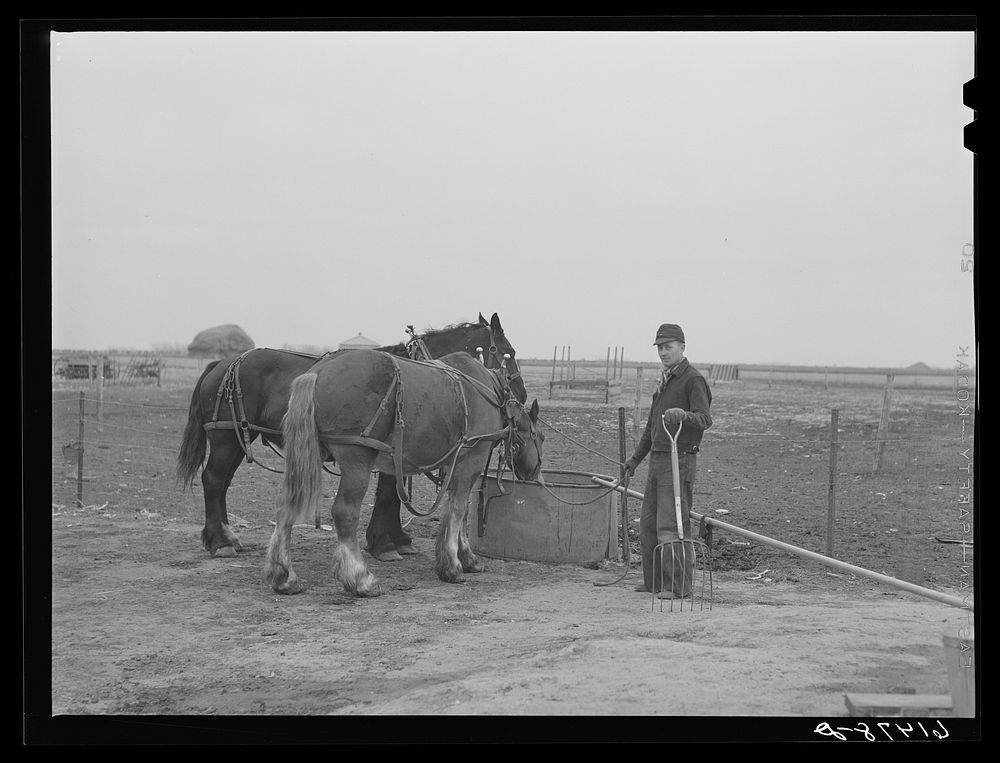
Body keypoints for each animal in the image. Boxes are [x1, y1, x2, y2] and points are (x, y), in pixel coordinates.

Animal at [176, 314, 528, 560]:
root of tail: (221, 363)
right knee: (214, 481)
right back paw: (220, 541)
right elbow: (388, 495)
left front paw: (394, 539)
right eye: (508, 352)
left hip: (234, 440)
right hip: (227, 438)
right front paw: (386, 543)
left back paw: (224, 537)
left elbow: (391, 494)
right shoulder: (393, 452)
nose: (521, 395)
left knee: (219, 484)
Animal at [266, 350, 544, 596]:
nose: (535, 474)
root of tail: (318, 372)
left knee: (286, 507)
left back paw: (284, 577)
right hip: (357, 459)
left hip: (308, 454)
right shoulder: (471, 459)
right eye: (539, 435)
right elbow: (457, 510)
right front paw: (453, 567)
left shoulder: (453, 463)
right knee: (345, 513)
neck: (490, 392)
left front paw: (467, 558)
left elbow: (457, 511)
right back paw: (361, 579)